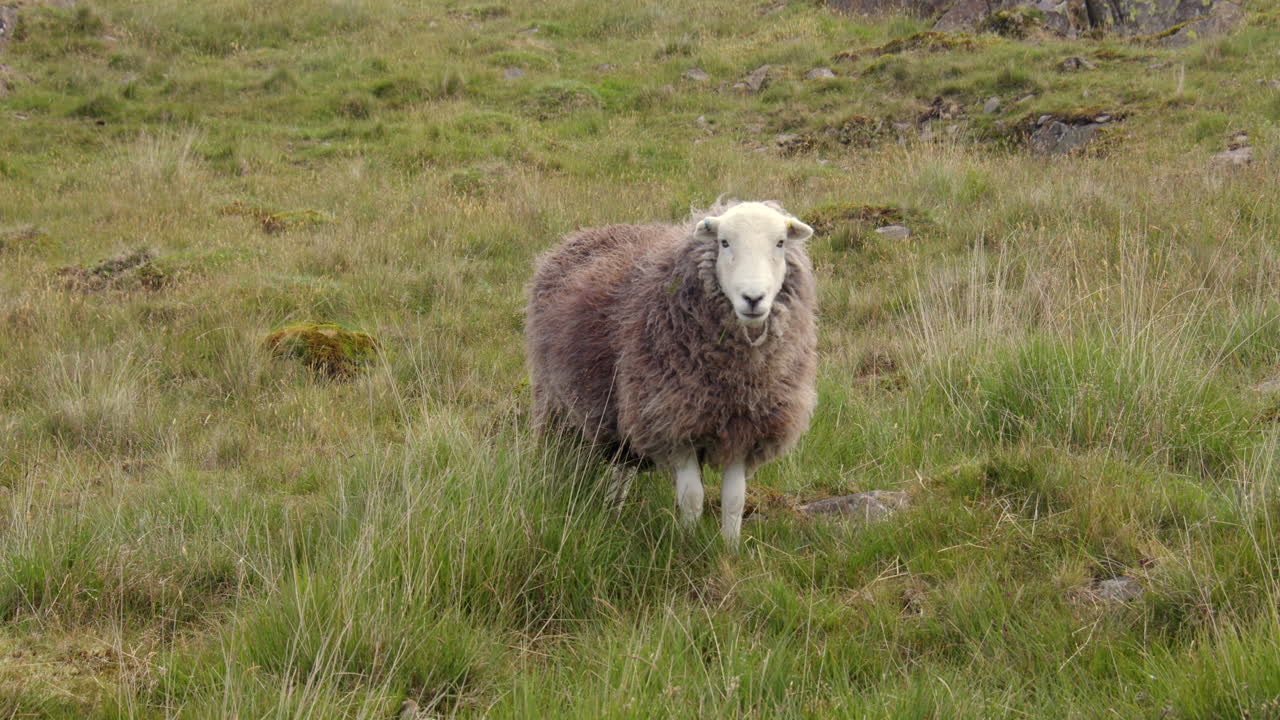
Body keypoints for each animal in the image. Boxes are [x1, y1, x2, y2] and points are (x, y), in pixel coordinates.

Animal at [524, 199, 818, 546]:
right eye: (724, 242)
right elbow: (692, 498)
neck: (734, 379)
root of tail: (579, 236)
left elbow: (735, 500)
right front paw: (687, 544)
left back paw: (614, 509)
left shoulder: (742, 429)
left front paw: (730, 548)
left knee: (623, 467)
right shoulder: (674, 424)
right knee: (552, 452)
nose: (753, 298)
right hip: (557, 399)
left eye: (780, 243)